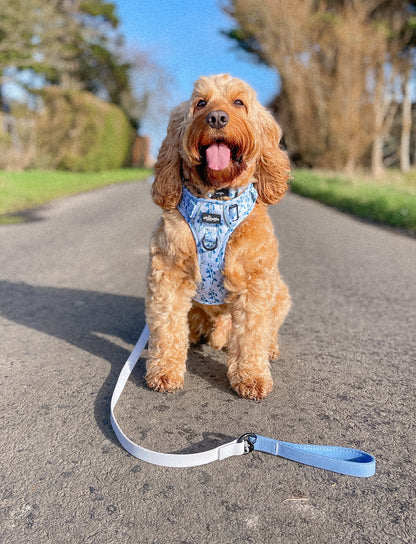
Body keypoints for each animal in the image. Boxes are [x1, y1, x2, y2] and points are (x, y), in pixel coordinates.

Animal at [145, 73, 290, 400]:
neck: (215, 201)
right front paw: (164, 370)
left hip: (281, 292)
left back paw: (269, 348)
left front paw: (252, 377)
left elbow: (252, 333)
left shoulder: (254, 282)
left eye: (239, 102)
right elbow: (166, 324)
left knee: (268, 330)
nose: (217, 117)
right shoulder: (169, 272)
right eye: (201, 103)